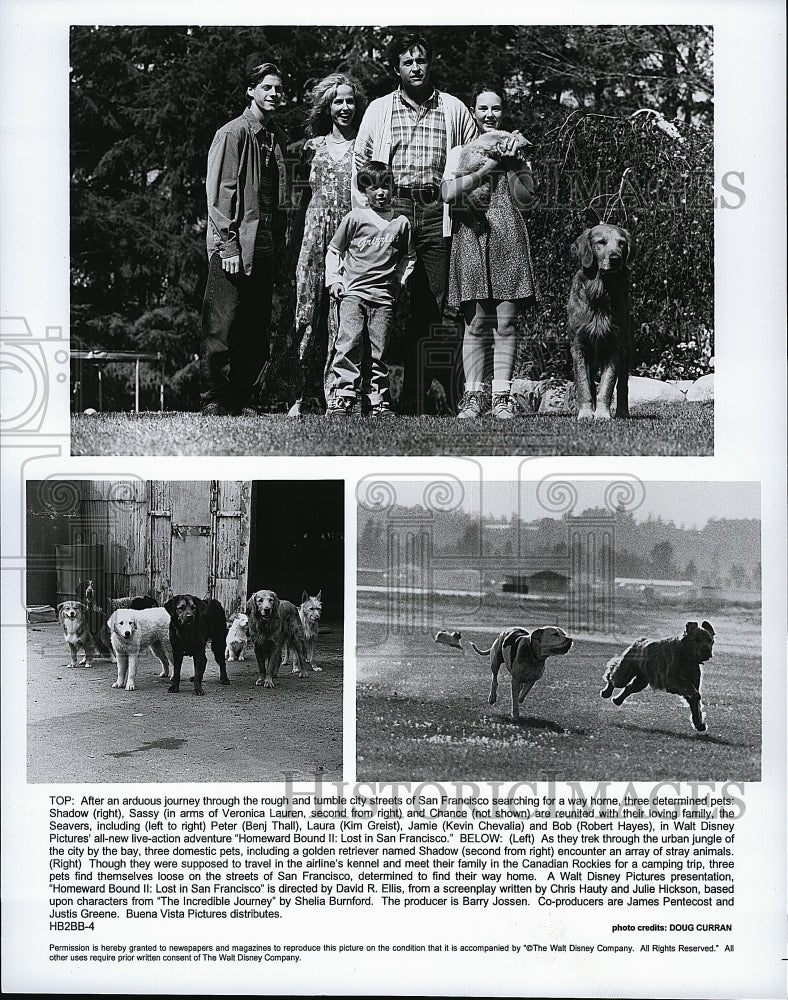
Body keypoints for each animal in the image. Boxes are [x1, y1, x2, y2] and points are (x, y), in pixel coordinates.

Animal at [568, 222, 636, 418]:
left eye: (622, 243)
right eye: (601, 242)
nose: (615, 259)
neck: (601, 293)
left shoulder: (616, 345)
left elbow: (607, 385)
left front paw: (603, 414)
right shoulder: (578, 345)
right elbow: (583, 385)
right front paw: (585, 413)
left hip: (627, 350)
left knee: (622, 386)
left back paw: (622, 412)